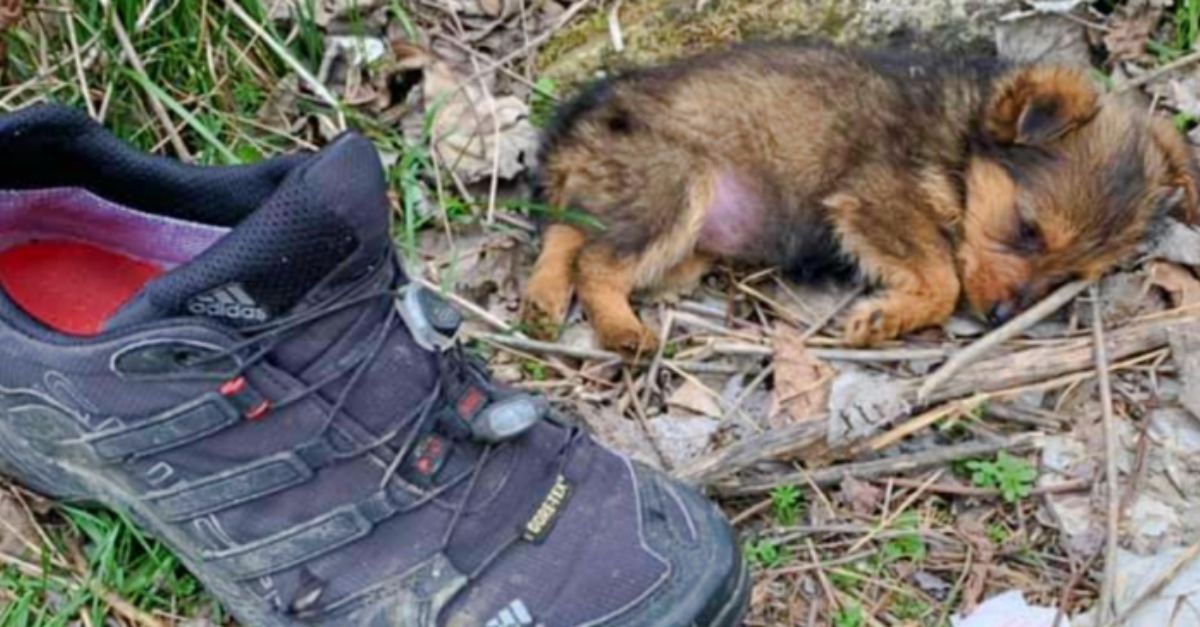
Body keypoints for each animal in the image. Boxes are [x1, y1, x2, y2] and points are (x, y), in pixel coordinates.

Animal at [518, 43, 1200, 353]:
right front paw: (886, 318)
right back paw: (621, 329)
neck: (960, 141)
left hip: (643, 204)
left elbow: (945, 274)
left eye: (1071, 276)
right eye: (1027, 230)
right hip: (676, 184)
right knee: (597, 261)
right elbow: (944, 276)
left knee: (568, 231)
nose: (1001, 317)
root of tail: (574, 127)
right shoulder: (874, 198)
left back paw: (543, 299)